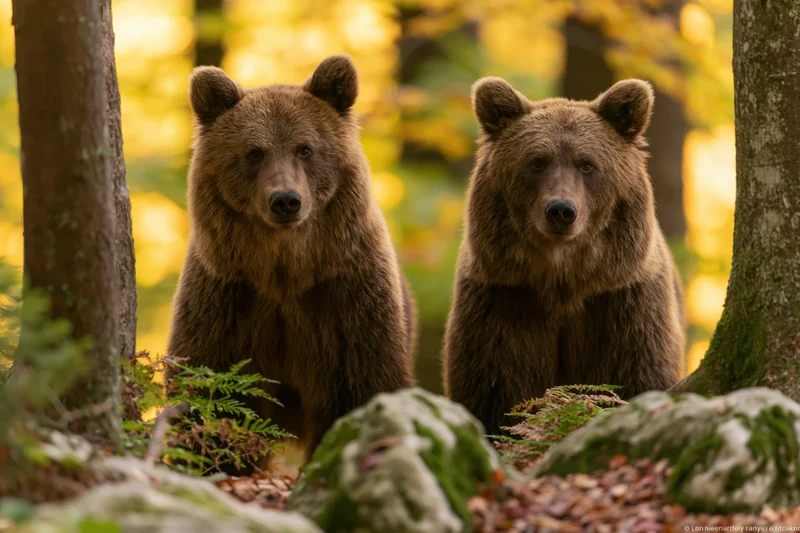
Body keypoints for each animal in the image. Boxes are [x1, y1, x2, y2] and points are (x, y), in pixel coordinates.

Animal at [167, 55, 417, 464]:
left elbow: (363, 384)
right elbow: (212, 389)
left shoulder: (345, 301)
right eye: (254, 151)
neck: (284, 270)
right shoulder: (228, 297)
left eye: (305, 148)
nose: (285, 200)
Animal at [443, 77, 685, 434]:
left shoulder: (623, 303)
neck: (563, 280)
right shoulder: (504, 302)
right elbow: (496, 387)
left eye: (587, 164)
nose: (560, 210)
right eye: (536, 161)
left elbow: (637, 374)